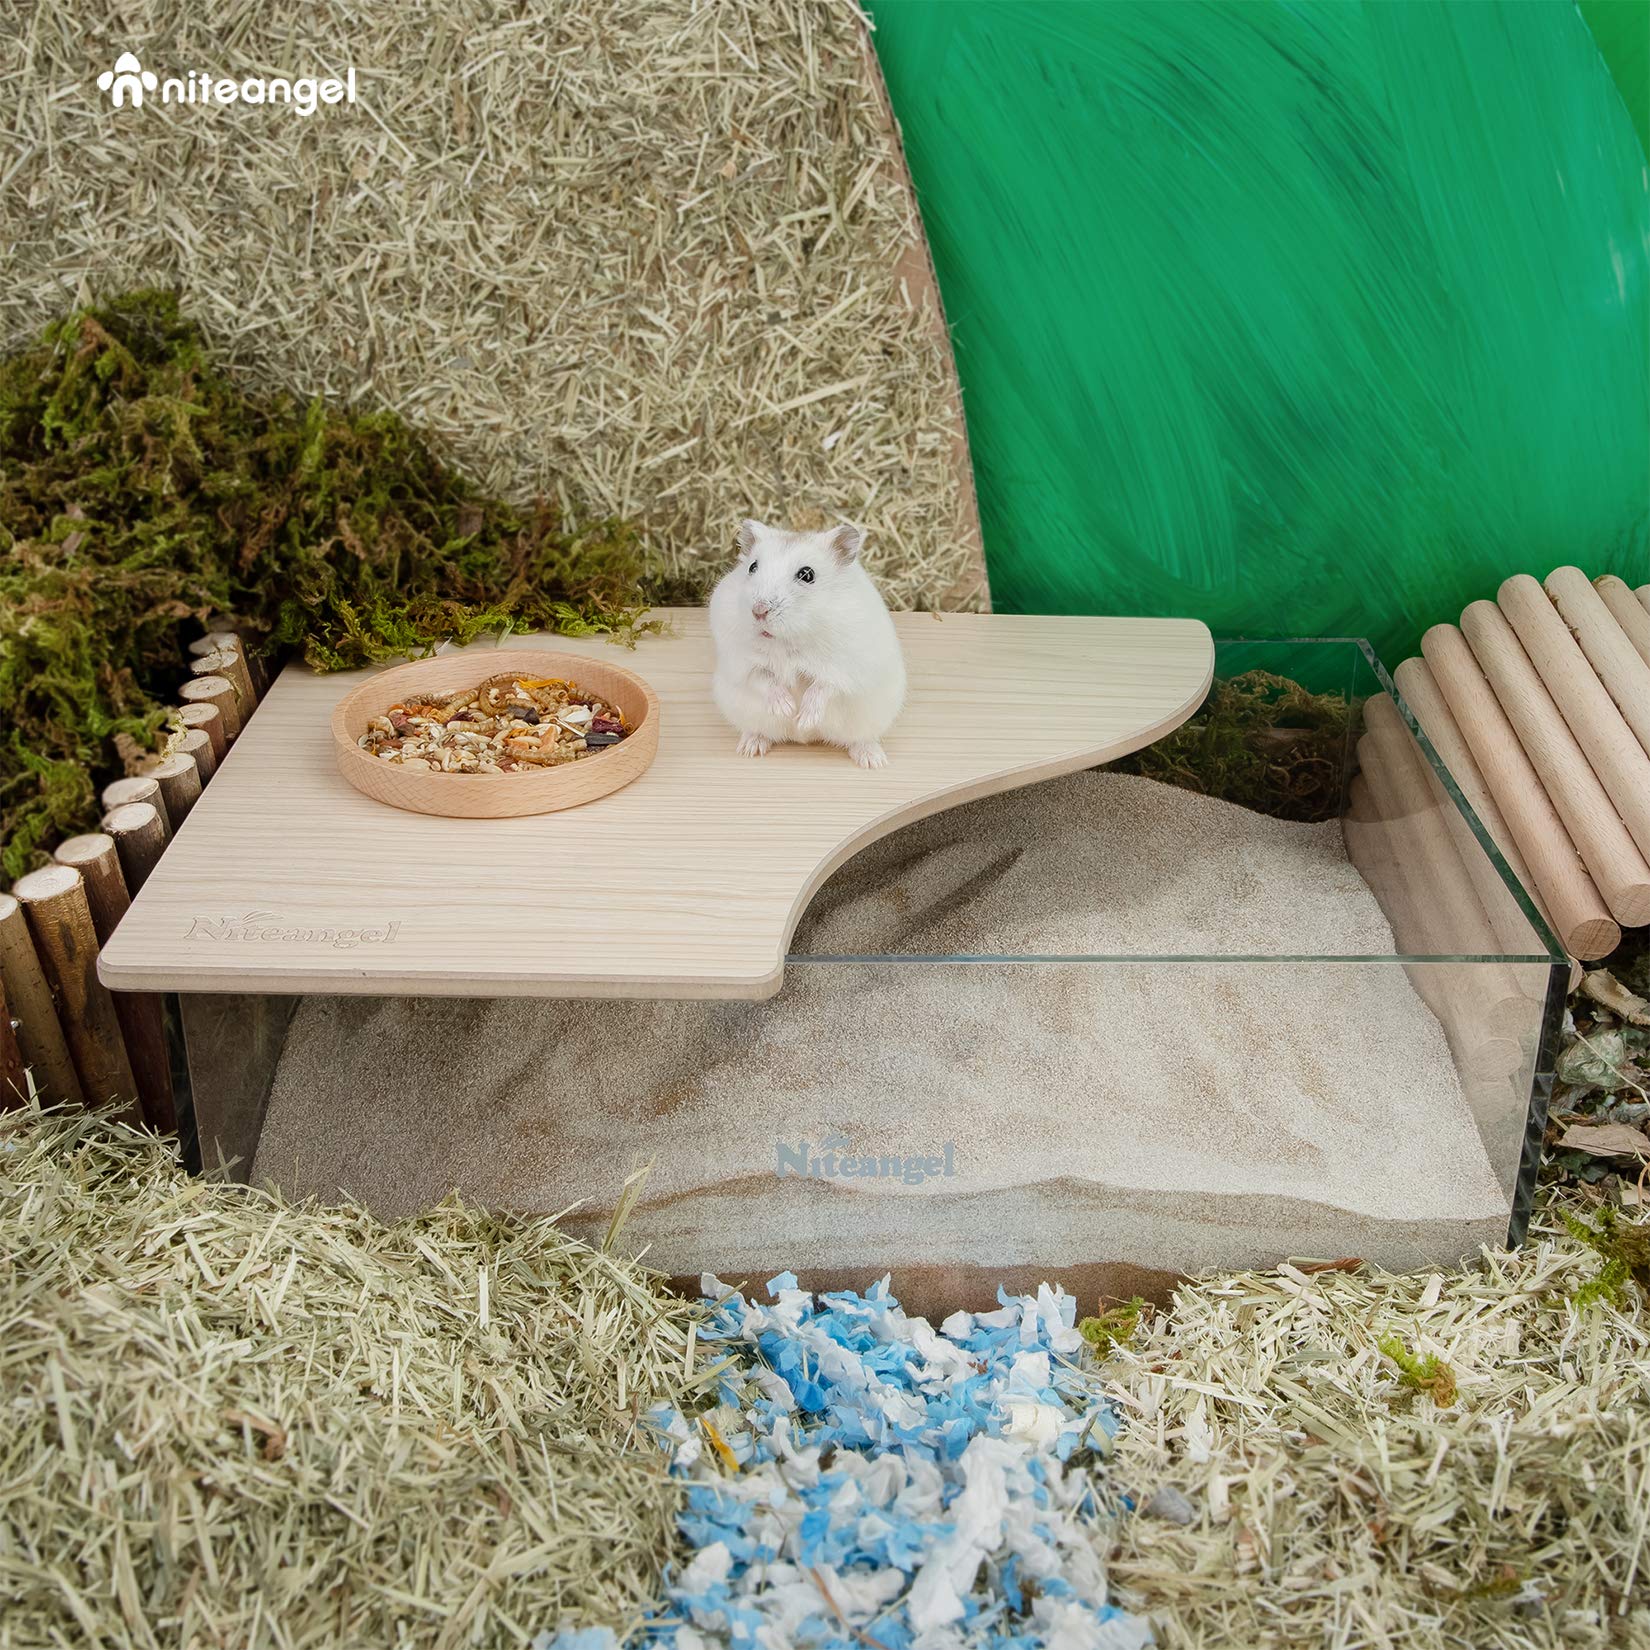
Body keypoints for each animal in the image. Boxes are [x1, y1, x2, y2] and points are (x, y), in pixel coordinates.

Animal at [710, 519, 906, 768]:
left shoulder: (845, 667)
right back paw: (751, 747)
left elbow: (824, 686)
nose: (758, 611)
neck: (787, 640)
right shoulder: (742, 663)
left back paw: (872, 760)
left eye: (807, 574)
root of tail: (805, 740)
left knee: (861, 739)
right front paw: (786, 709)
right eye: (752, 567)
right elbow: (764, 677)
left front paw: (803, 718)